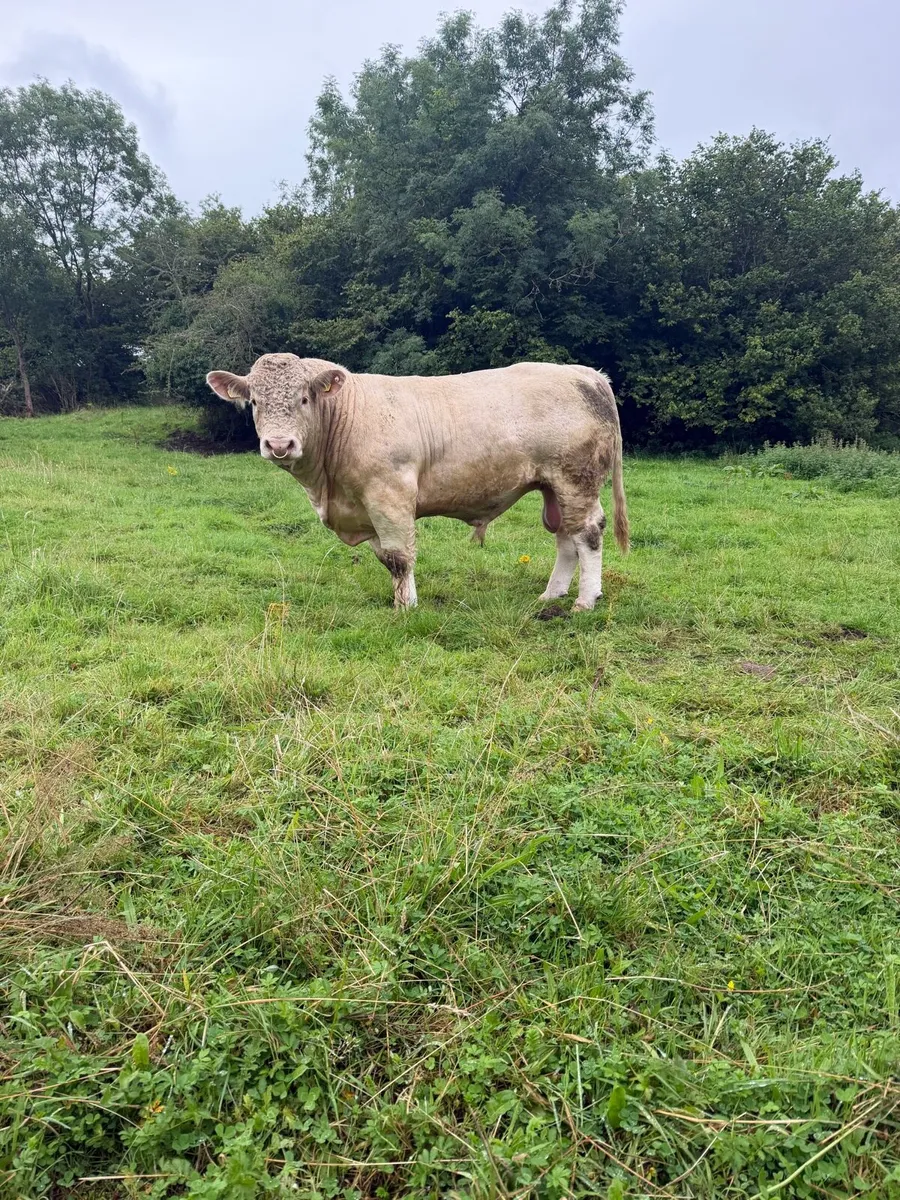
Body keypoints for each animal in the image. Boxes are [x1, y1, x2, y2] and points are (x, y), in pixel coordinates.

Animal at [206, 355, 629, 611]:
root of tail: (586, 374)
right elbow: (385, 557)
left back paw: (585, 600)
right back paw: (551, 594)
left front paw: (406, 607)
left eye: (305, 398)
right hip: (554, 486)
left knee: (588, 533)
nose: (279, 445)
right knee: (565, 537)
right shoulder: (366, 508)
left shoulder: (389, 495)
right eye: (255, 402)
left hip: (576, 478)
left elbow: (398, 556)